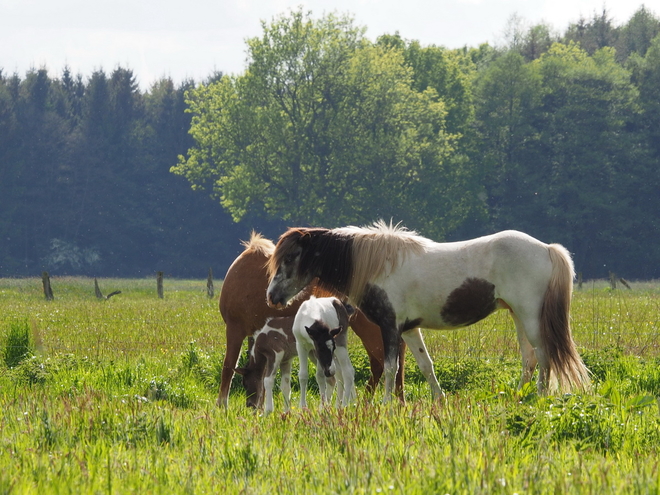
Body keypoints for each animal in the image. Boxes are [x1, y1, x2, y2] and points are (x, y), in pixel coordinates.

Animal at [217, 232, 404, 406]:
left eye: (244, 382)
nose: (250, 405)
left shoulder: (234, 330)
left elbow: (228, 367)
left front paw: (222, 405)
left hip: (371, 333)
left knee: (386, 365)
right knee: (383, 365)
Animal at [268, 221, 592, 404]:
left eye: (292, 256)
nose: (272, 296)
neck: (379, 266)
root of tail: (546, 248)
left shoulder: (391, 327)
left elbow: (390, 368)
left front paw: (385, 405)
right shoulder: (410, 329)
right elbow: (425, 366)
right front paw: (439, 400)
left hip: (530, 316)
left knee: (543, 356)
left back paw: (539, 397)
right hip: (518, 316)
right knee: (529, 359)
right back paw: (518, 398)